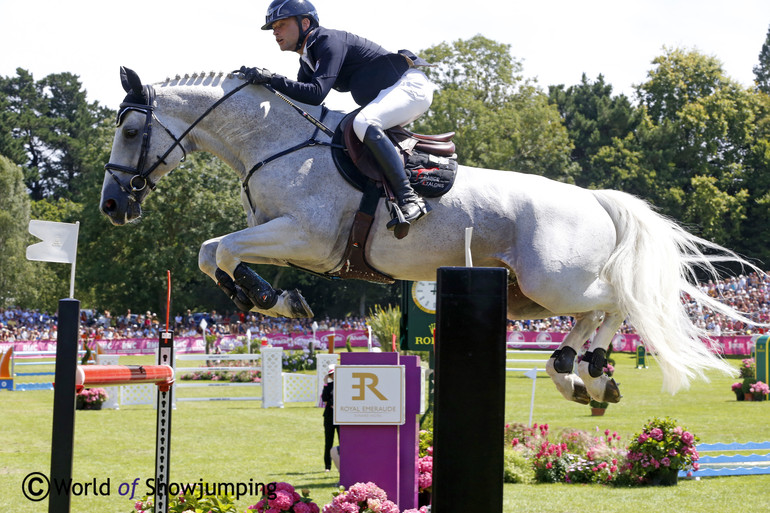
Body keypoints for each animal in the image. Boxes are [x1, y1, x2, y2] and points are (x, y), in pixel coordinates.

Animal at [100, 67, 756, 404]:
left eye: (132, 130)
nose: (110, 207)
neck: (276, 142)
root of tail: (592, 197)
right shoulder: (280, 235)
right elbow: (212, 252)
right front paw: (271, 299)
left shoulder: (307, 238)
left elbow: (223, 248)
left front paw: (272, 298)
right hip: (531, 291)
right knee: (598, 310)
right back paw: (575, 369)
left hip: (554, 282)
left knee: (618, 300)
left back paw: (588, 368)